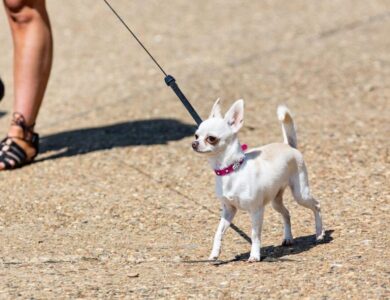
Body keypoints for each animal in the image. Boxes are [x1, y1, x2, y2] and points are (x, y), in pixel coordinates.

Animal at [191, 99, 322, 262]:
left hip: (300, 194)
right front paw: (214, 253)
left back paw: (319, 234)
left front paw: (254, 255)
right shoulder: (228, 210)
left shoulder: (256, 210)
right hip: (275, 201)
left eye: (211, 138)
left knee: (316, 205)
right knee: (286, 213)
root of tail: (288, 145)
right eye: (196, 135)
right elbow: (218, 232)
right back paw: (288, 238)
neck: (231, 170)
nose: (194, 143)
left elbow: (255, 235)